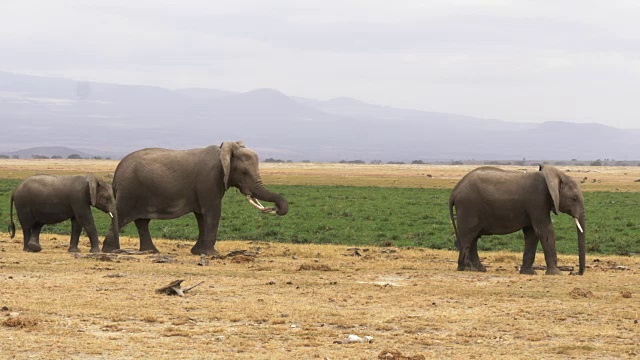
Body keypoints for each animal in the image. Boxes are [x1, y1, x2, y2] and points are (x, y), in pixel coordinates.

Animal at [102, 141, 288, 256]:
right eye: (243, 172)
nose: (276, 209)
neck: (224, 151)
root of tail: (116, 172)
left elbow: (201, 217)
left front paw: (199, 253)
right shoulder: (210, 180)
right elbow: (213, 213)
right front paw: (213, 254)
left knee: (142, 222)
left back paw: (151, 252)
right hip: (129, 191)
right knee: (122, 216)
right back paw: (110, 251)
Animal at [450, 166, 584, 276]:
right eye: (574, 198)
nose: (574, 273)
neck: (554, 176)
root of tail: (454, 191)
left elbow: (532, 234)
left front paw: (529, 273)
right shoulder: (538, 201)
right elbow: (546, 230)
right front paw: (556, 274)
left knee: (473, 238)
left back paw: (479, 269)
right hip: (468, 207)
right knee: (468, 237)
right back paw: (465, 268)